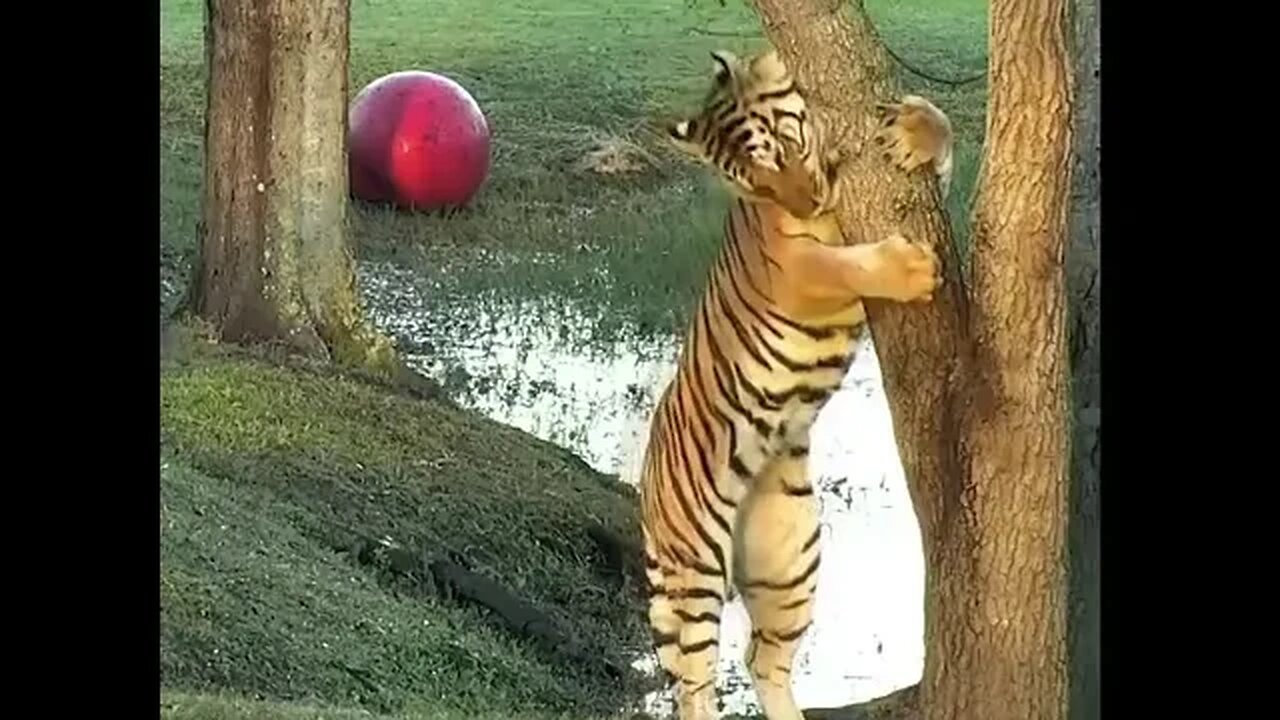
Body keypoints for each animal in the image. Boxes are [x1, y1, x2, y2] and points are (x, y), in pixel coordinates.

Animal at [637, 47, 954, 720]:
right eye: (757, 183)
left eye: (783, 148)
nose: (804, 204)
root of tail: (644, 489)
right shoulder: (796, 267)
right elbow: (840, 264)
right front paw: (908, 271)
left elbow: (940, 145)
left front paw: (914, 129)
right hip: (694, 568)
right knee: (694, 686)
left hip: (789, 561)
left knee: (762, 658)